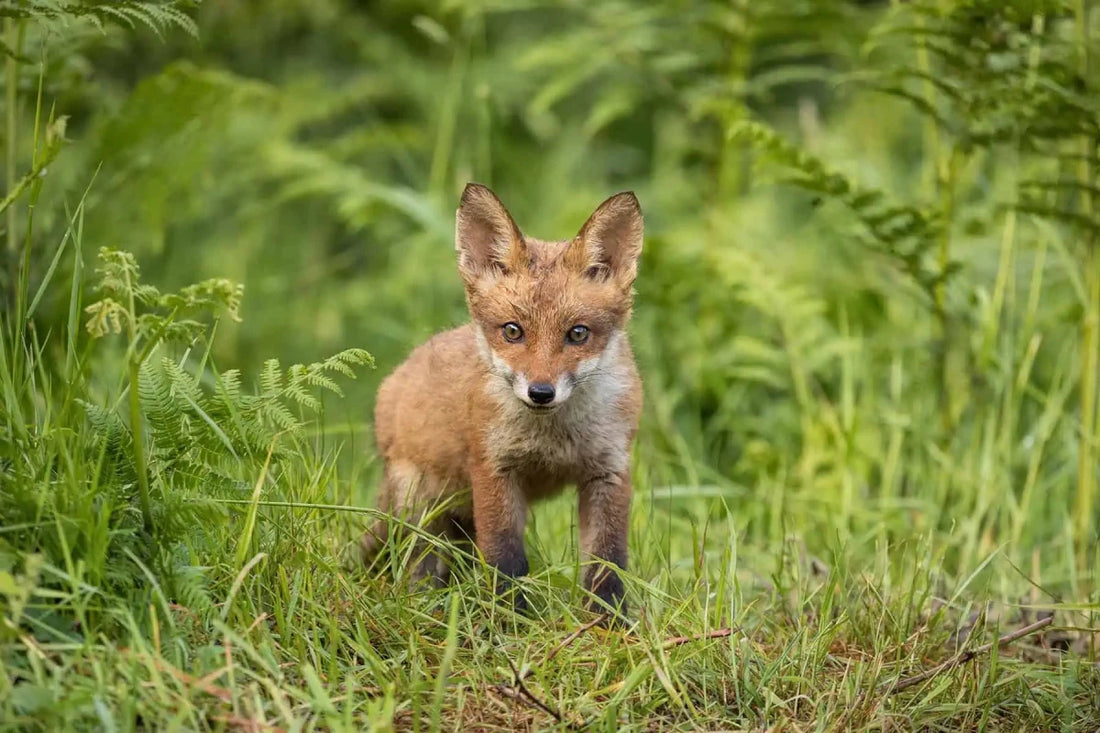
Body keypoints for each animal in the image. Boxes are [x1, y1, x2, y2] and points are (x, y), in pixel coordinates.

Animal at [360, 182, 644, 619]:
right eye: (513, 331)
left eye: (578, 334)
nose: (541, 392)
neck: (554, 439)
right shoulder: (494, 469)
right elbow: (505, 558)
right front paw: (511, 621)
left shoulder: (609, 469)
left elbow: (606, 562)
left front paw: (610, 624)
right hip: (419, 506)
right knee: (419, 563)